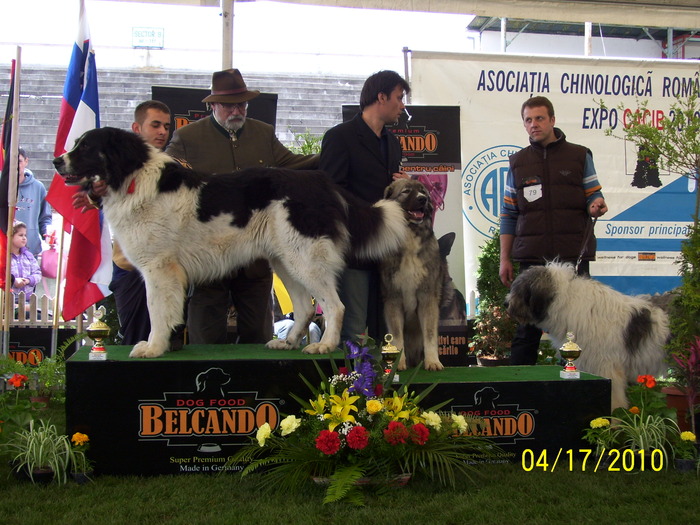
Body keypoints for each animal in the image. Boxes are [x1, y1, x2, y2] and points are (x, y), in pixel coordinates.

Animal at [54, 128, 408, 356]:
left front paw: (153, 347)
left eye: (85, 148)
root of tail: (322, 181)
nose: (57, 161)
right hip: (287, 260)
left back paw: (324, 345)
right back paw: (288, 342)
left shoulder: (159, 269)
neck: (132, 179)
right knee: (307, 307)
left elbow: (157, 312)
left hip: (305, 258)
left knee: (334, 306)